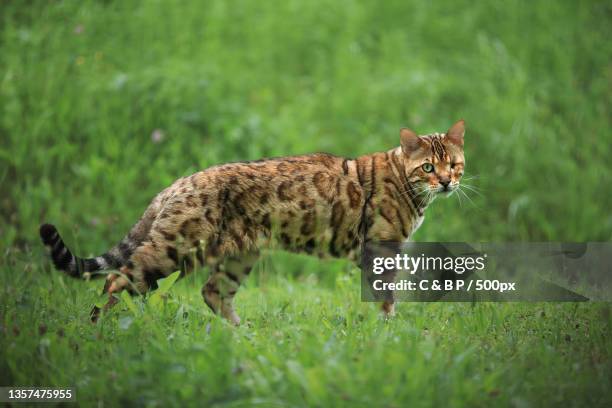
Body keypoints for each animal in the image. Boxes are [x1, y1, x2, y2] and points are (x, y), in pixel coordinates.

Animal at [40, 119, 466, 324]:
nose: (447, 182)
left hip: (238, 256)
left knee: (212, 292)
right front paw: (388, 332)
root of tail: (178, 182)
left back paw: (240, 335)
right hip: (174, 249)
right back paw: (98, 329)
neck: (405, 182)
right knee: (116, 281)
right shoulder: (381, 248)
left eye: (454, 164)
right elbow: (384, 298)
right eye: (428, 167)